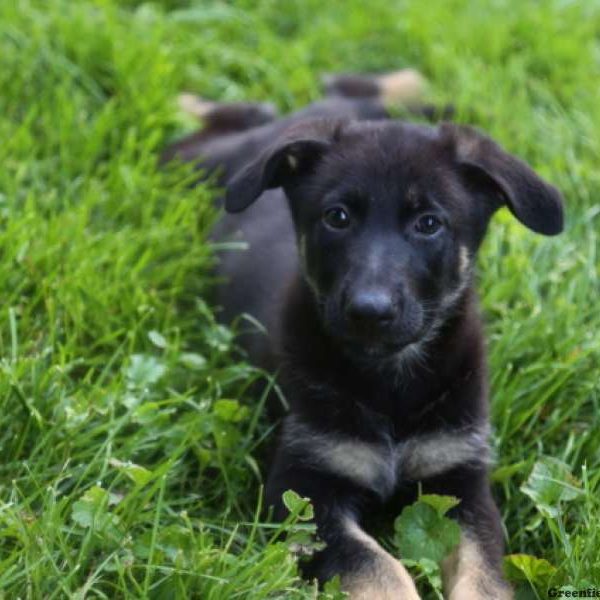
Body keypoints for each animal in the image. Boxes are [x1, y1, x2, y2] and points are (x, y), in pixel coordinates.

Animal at [164, 75, 564, 600]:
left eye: (429, 224)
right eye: (337, 217)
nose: (369, 311)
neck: (389, 381)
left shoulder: (461, 481)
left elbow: (482, 574)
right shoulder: (303, 491)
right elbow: (376, 565)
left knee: (345, 87)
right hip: (200, 163)